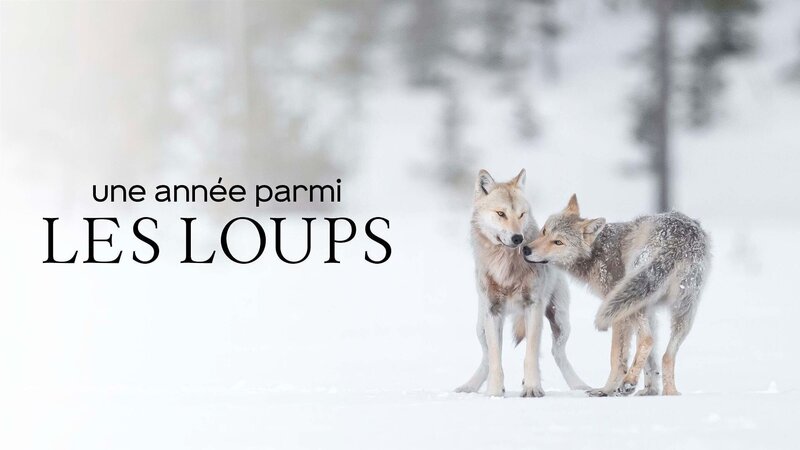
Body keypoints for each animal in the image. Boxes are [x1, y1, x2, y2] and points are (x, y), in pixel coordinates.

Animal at [456, 170, 589, 397]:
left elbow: (531, 355)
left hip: (560, 321)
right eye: (501, 214)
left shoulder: (533, 306)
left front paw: (533, 388)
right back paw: (469, 387)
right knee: (486, 357)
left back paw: (579, 386)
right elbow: (495, 359)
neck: (505, 266)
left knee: (557, 353)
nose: (518, 238)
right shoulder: (493, 311)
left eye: (521, 215)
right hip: (481, 326)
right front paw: (494, 393)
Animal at [523, 194, 710, 396]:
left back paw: (626, 383)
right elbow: (651, 362)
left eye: (558, 242)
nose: (526, 249)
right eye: (544, 231)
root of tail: (681, 236)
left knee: (647, 340)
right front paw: (650, 391)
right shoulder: (650, 310)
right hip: (680, 313)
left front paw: (608, 390)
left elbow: (617, 358)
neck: (597, 252)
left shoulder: (620, 316)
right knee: (666, 355)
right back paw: (669, 393)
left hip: (630, 303)